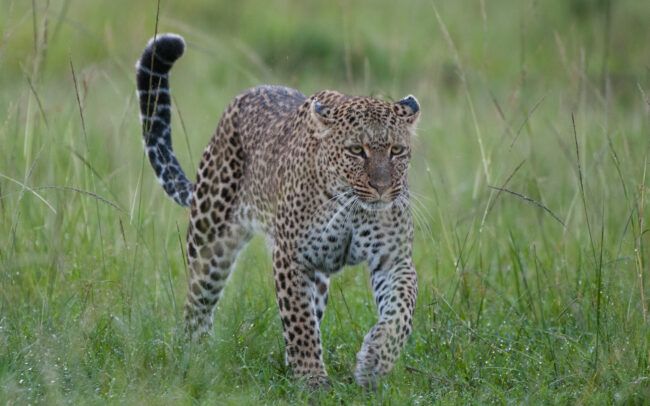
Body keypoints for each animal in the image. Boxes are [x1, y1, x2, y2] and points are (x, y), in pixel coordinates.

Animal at [136, 33, 420, 389]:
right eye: (357, 150)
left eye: (397, 150)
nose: (382, 187)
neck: (352, 207)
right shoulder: (291, 256)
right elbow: (299, 321)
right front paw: (312, 379)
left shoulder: (394, 259)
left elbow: (401, 311)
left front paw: (375, 360)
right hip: (210, 241)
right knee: (197, 303)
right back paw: (196, 356)